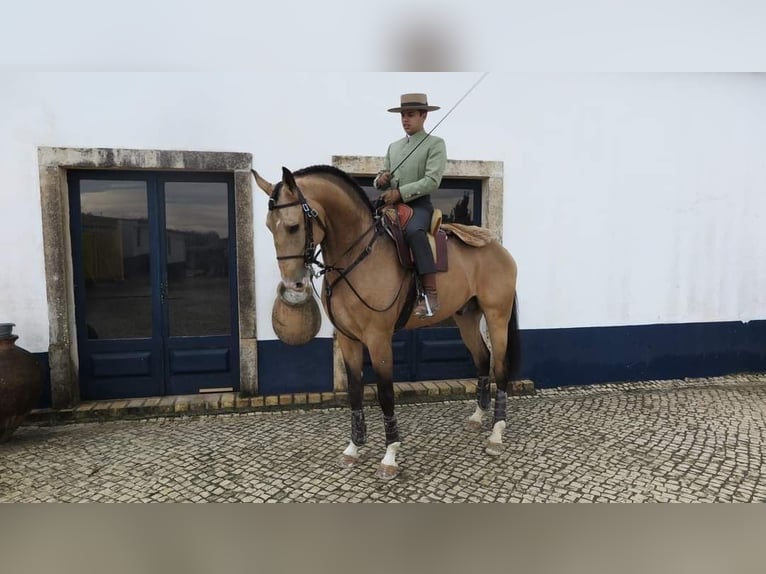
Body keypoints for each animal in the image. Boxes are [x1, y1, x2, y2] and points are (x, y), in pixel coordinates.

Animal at [252, 165, 520, 482]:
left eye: (293, 226)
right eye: (269, 226)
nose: (293, 284)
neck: (358, 258)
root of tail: (497, 248)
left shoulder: (378, 339)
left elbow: (384, 393)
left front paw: (390, 455)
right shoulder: (348, 339)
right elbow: (356, 390)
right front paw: (354, 447)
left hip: (497, 316)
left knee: (500, 365)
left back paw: (496, 433)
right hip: (466, 318)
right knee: (482, 358)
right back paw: (478, 417)